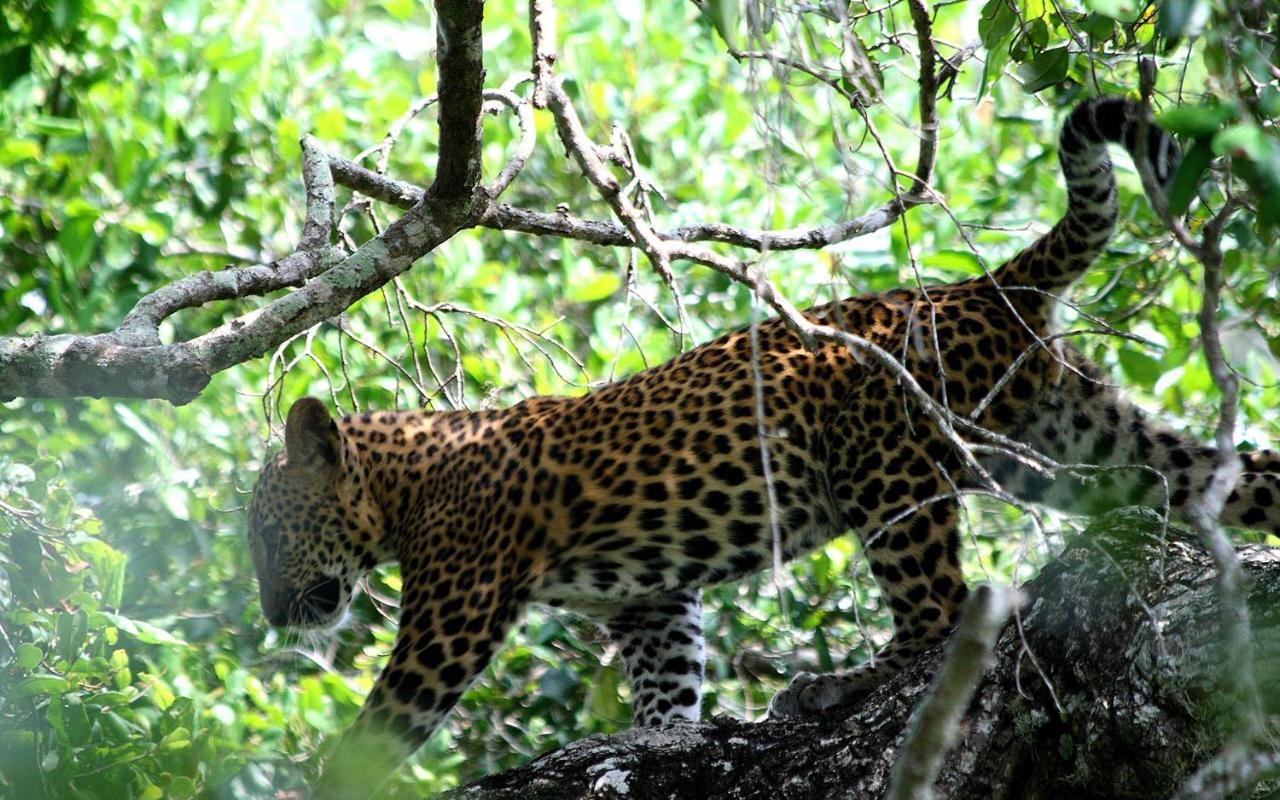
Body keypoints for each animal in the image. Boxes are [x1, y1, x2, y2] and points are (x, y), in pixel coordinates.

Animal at [244, 96, 1280, 793]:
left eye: (269, 533)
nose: (270, 614)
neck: (399, 480)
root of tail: (983, 288)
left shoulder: (452, 612)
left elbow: (378, 729)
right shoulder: (652, 602)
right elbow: (669, 687)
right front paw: (657, 742)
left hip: (887, 469)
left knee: (940, 613)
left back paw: (834, 687)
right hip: (1074, 437)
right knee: (1229, 481)